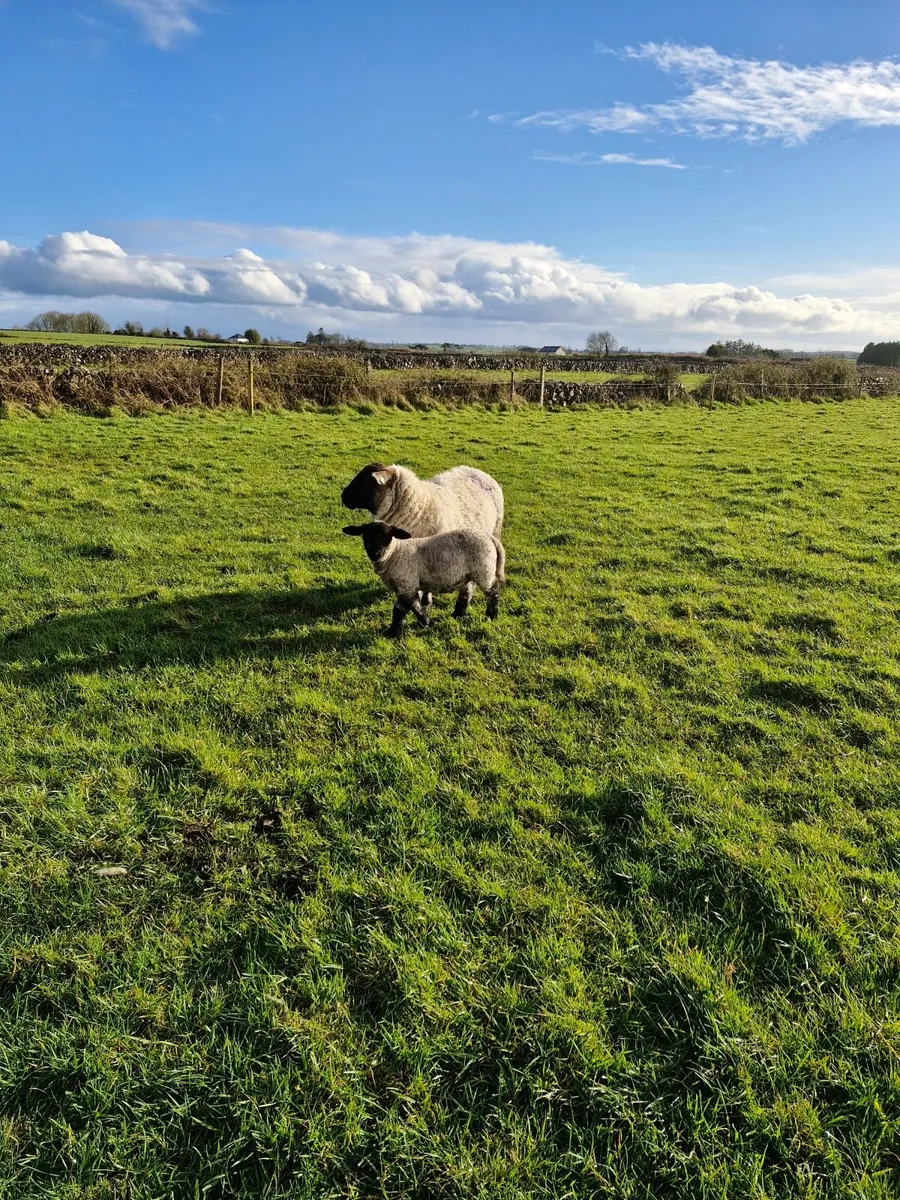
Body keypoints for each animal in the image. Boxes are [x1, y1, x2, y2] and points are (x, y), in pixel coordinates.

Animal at [342, 521, 505, 636]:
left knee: (493, 593)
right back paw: (457, 614)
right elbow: (412, 606)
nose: (375, 552)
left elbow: (402, 608)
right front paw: (422, 623)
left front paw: (394, 631)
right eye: (365, 535)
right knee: (467, 592)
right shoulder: (408, 585)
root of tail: (489, 537)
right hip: (470, 573)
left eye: (388, 536)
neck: (395, 553)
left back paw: (491, 616)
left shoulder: (406, 583)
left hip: (484, 570)